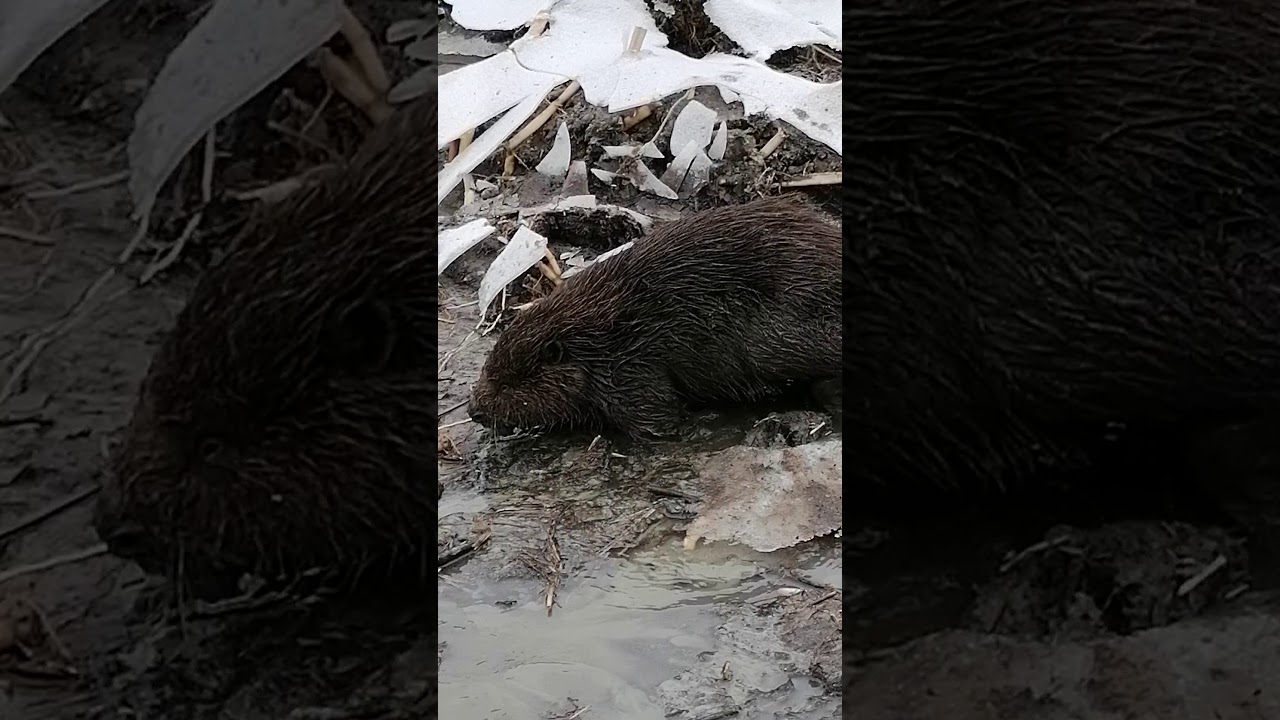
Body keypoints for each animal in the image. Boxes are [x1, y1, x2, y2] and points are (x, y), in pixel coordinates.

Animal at [465, 192, 844, 438]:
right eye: (488, 371)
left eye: (507, 384)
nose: (473, 411)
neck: (590, 338)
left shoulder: (629, 369)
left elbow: (656, 419)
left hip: (774, 339)